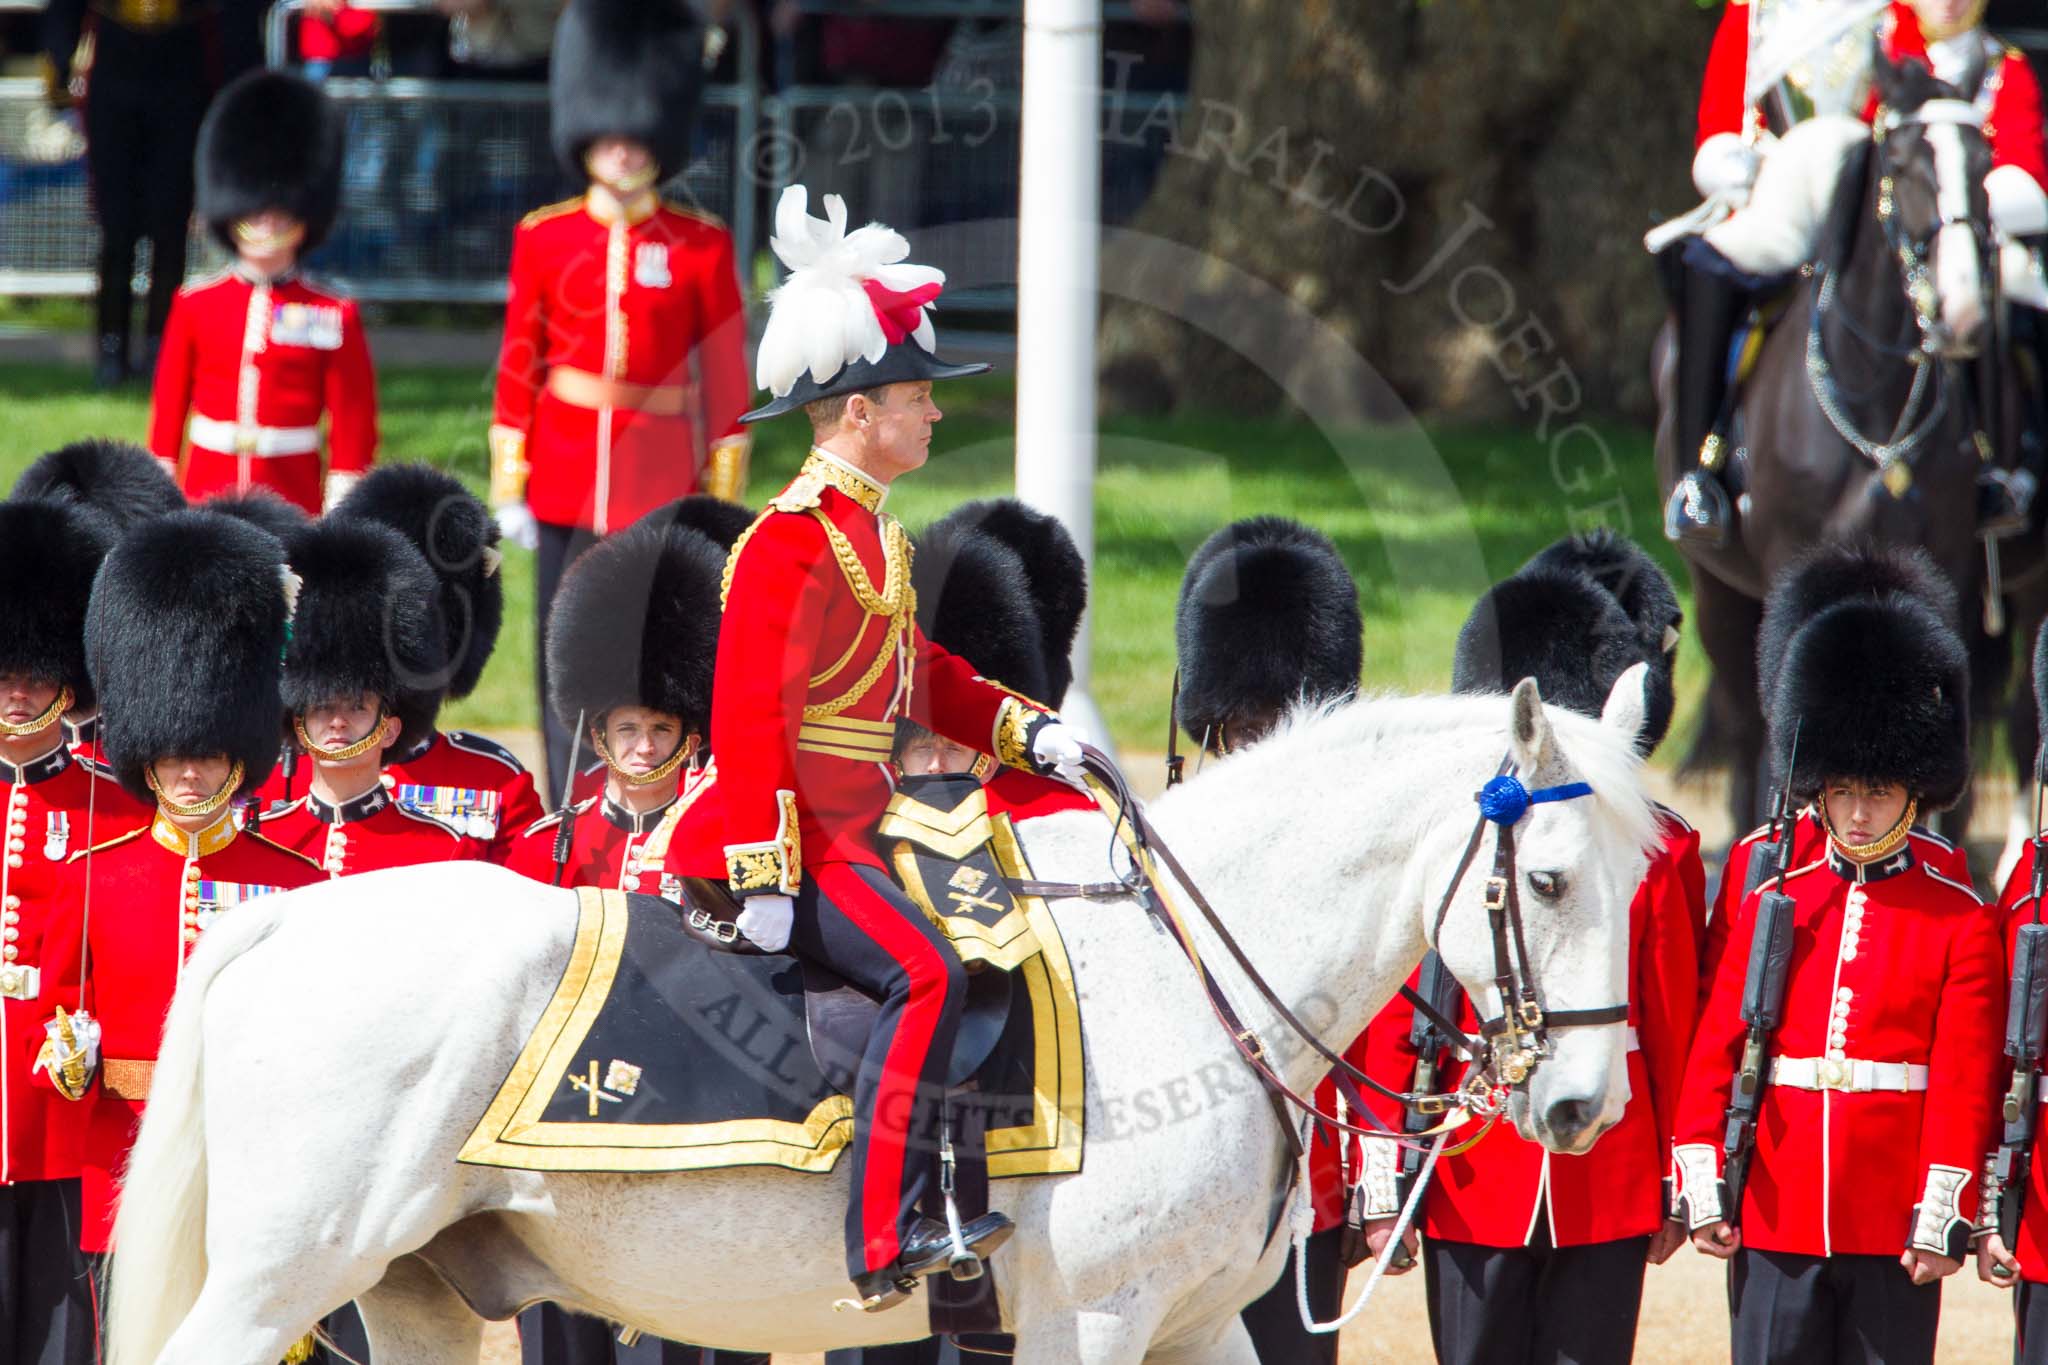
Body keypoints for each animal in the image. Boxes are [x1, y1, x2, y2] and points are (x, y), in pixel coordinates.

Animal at [99, 675, 1662, 1365]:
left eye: (1648, 872)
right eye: (1548, 878)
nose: (1582, 1107)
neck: (1192, 978)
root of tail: (288, 916)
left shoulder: (1191, 1325)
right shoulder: (1093, 1321)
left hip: (416, 1291)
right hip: (279, 1278)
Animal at [1654, 58, 2039, 847]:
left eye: (1983, 166)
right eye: (1903, 164)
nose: (1964, 312)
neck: (1874, 406)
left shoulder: (1949, 574)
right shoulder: (1784, 571)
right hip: (1716, 588)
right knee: (1745, 724)